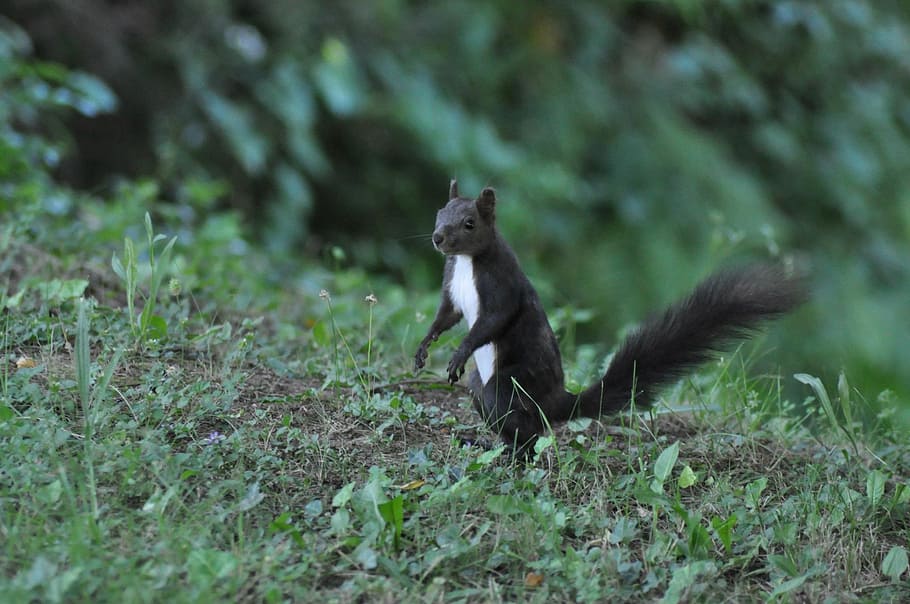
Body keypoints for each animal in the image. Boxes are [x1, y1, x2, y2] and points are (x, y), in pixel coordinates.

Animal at [415, 180, 806, 457]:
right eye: (438, 213)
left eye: (469, 223)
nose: (437, 238)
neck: (467, 263)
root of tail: (557, 403)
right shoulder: (452, 288)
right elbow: (446, 317)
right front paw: (423, 348)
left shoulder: (501, 285)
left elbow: (491, 322)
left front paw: (458, 354)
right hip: (480, 387)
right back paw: (486, 445)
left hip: (508, 386)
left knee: (530, 435)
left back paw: (513, 455)